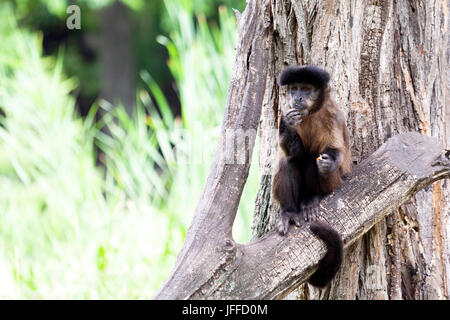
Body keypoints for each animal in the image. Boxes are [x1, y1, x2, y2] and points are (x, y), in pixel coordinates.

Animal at [270, 64, 352, 288]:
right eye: (295, 88)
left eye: (306, 89)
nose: (297, 97)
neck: (310, 113)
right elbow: (294, 153)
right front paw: (288, 124)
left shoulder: (332, 114)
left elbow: (334, 151)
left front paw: (329, 161)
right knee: (291, 160)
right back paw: (289, 212)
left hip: (335, 182)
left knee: (311, 159)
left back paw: (311, 200)